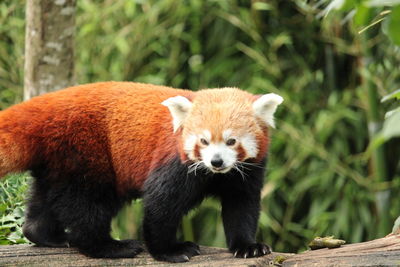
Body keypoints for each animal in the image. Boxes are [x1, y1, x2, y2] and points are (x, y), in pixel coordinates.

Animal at [0, 82, 282, 264]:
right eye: (203, 141)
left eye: (231, 141)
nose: (216, 161)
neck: (214, 174)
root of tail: (44, 106)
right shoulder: (172, 161)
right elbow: (161, 205)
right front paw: (170, 251)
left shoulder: (248, 170)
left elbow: (242, 205)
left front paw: (248, 246)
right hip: (84, 150)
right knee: (87, 202)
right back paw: (109, 246)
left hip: (58, 159)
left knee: (47, 196)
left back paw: (44, 234)